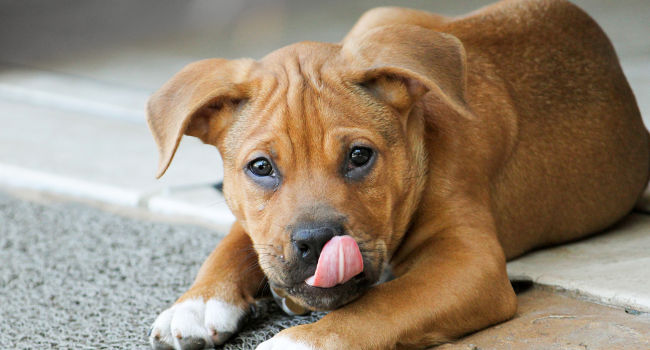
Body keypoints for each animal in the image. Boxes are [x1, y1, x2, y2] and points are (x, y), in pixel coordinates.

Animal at [144, 1, 644, 348]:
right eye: (261, 167)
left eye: (360, 156)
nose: (317, 241)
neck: (422, 141)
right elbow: (235, 238)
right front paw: (197, 301)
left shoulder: (470, 263)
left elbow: (380, 305)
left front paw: (296, 342)